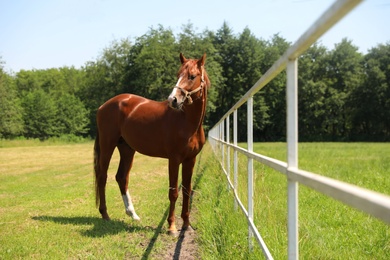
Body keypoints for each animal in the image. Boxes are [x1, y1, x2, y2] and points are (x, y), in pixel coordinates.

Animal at [93, 52, 210, 236]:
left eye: (192, 76)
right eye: (178, 75)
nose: (173, 100)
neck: (186, 121)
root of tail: (103, 106)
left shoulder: (190, 160)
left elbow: (186, 190)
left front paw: (186, 224)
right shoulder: (174, 159)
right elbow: (173, 192)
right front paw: (172, 227)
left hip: (127, 149)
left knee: (121, 177)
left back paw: (132, 214)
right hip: (108, 145)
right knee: (102, 176)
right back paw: (105, 214)